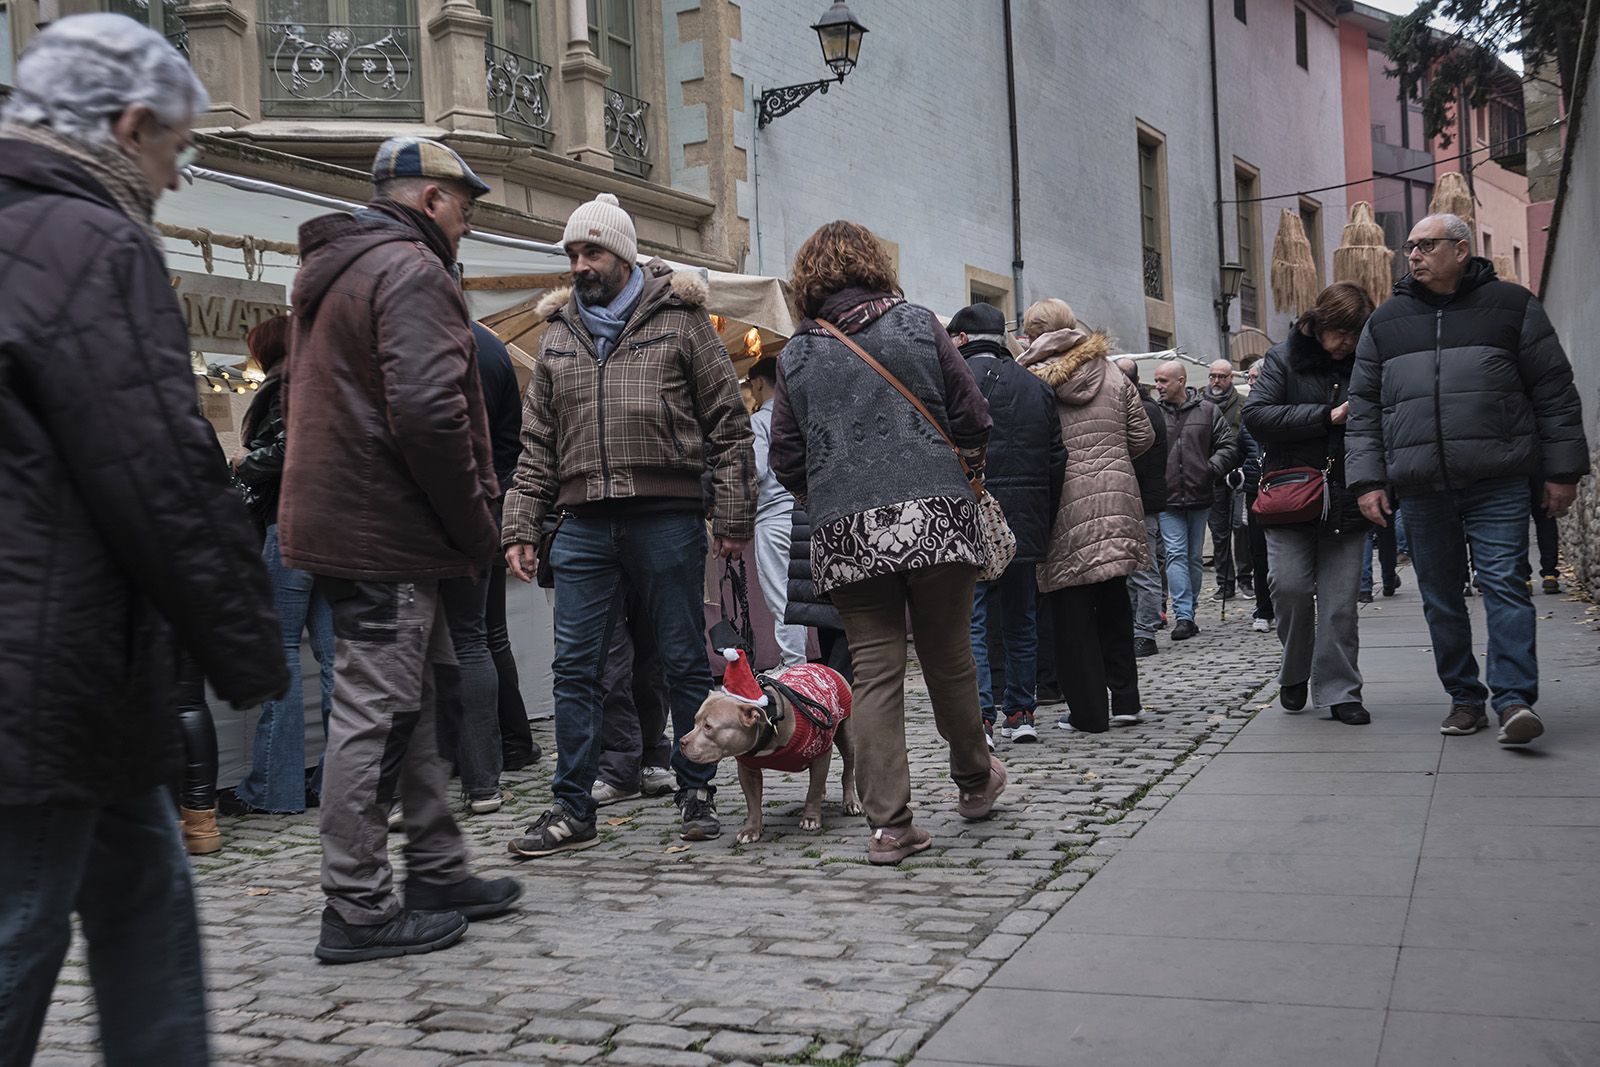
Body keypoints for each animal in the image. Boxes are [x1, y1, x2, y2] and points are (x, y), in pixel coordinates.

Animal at [678, 646, 857, 844]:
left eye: (708, 727)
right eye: (695, 721)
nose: (681, 742)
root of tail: (822, 665)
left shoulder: (822, 754)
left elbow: (813, 791)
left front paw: (810, 818)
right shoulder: (748, 769)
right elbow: (753, 802)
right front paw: (751, 830)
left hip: (847, 737)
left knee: (847, 772)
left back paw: (850, 803)